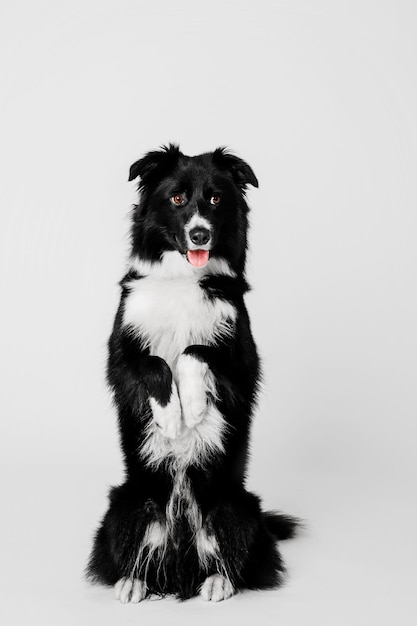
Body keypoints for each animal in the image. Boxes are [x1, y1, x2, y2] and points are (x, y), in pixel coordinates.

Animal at [87, 145, 296, 600]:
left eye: (216, 199)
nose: (200, 234)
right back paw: (133, 582)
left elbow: (193, 350)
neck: (184, 277)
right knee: (135, 552)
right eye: (178, 199)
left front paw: (195, 407)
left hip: (234, 507)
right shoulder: (120, 357)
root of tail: (181, 568)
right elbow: (154, 361)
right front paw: (170, 418)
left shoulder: (242, 362)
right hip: (128, 504)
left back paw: (217, 582)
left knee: (230, 558)